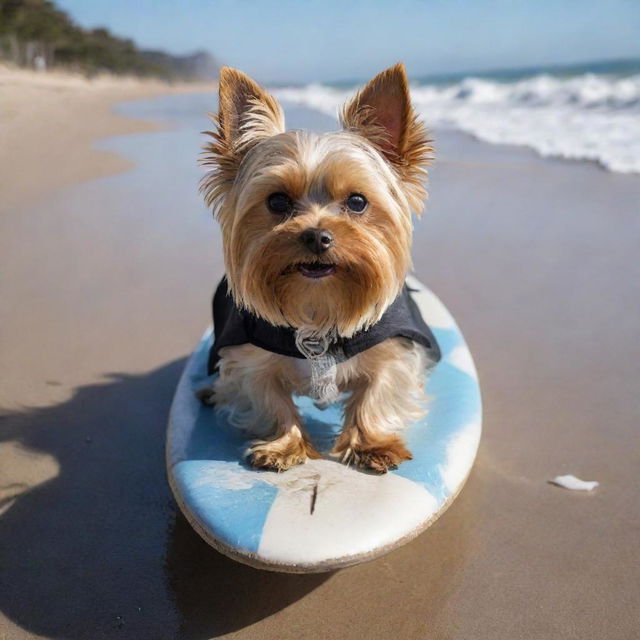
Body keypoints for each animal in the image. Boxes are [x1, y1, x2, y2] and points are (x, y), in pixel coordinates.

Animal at [199, 63, 440, 476]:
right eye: (277, 201)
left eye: (357, 201)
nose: (316, 236)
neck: (318, 305)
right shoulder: (248, 361)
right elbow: (268, 398)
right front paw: (284, 445)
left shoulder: (394, 351)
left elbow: (378, 391)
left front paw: (371, 444)